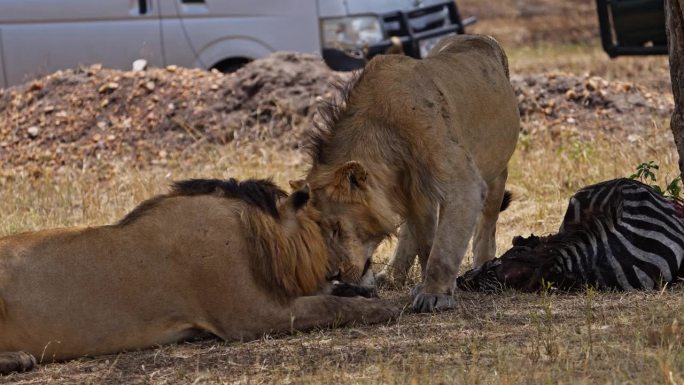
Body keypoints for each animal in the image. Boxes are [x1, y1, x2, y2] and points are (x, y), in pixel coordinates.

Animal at [0, 178, 396, 374]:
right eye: (328, 229)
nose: (355, 266)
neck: (254, 233)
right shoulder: (250, 315)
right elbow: (328, 305)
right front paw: (383, 308)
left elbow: (334, 296)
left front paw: (363, 294)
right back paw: (18, 360)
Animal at [304, 34, 520, 312]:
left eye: (337, 228)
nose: (334, 276)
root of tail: (476, 36)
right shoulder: (414, 192)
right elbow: (426, 243)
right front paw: (426, 285)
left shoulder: (464, 183)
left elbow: (444, 248)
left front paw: (435, 295)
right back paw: (391, 277)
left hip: (496, 170)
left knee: (487, 223)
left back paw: (482, 268)